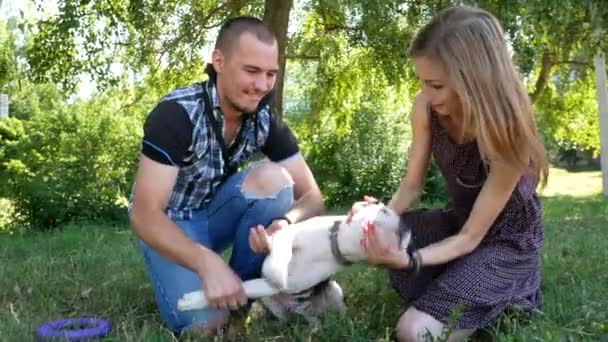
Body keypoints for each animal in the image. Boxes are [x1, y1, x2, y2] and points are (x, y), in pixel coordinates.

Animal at [178, 203, 410, 324]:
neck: (334, 243)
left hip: (334, 291)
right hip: (270, 300)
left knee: (322, 316)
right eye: (383, 209)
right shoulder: (285, 244)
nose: (407, 226)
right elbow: (280, 244)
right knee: (287, 318)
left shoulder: (280, 283)